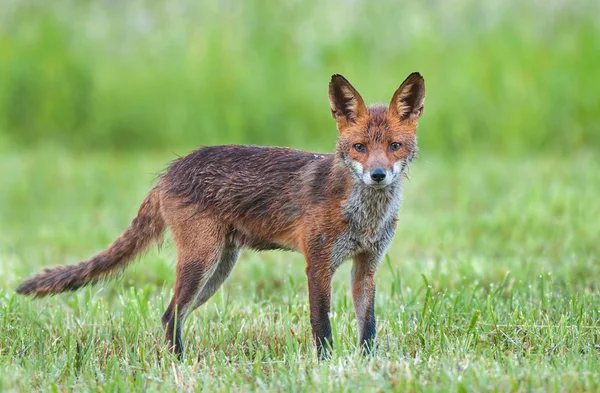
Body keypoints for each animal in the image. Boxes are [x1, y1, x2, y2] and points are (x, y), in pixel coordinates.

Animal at [15, 72, 426, 360]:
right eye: (359, 147)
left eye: (394, 146)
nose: (378, 175)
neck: (363, 217)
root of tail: (169, 171)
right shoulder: (318, 264)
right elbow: (321, 326)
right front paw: (326, 368)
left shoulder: (367, 266)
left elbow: (368, 327)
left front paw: (367, 367)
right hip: (202, 262)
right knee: (170, 315)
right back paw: (179, 367)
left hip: (217, 271)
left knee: (174, 316)